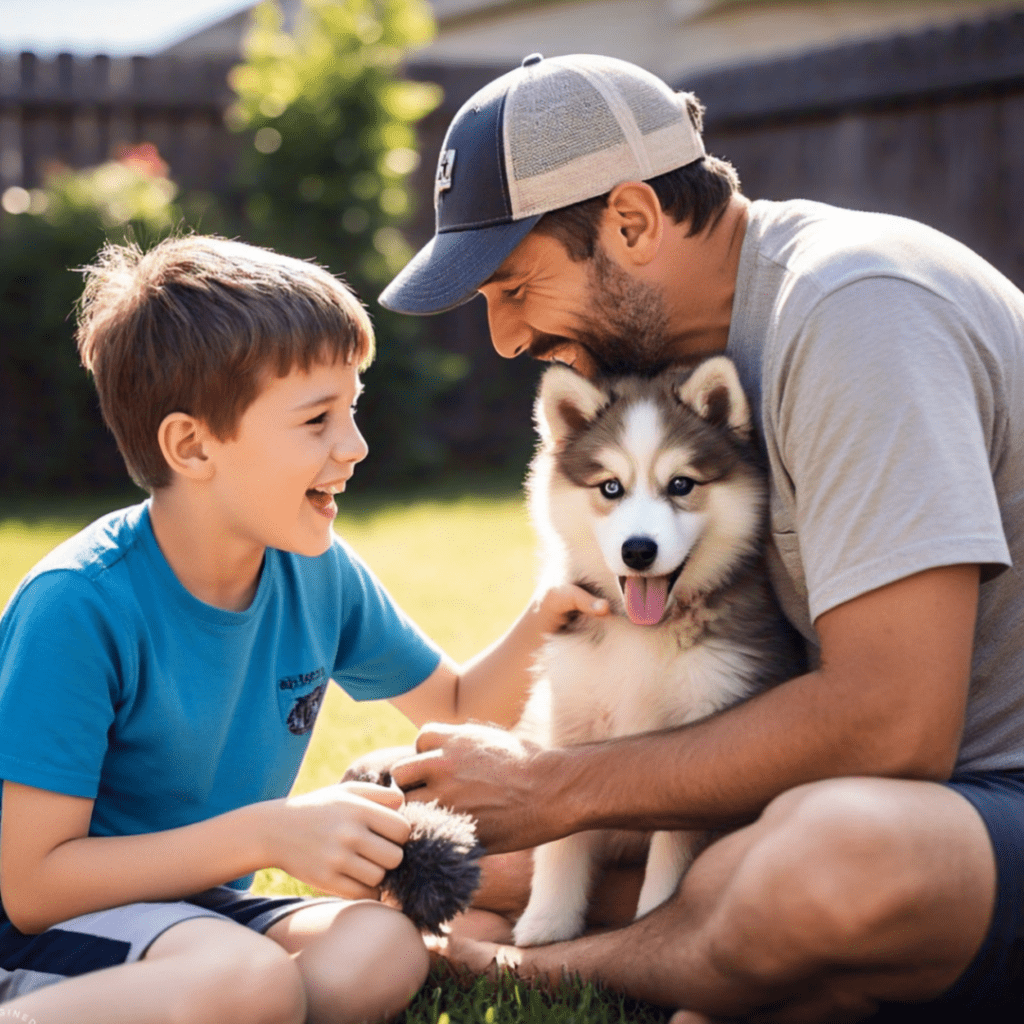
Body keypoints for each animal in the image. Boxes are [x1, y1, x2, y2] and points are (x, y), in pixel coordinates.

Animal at [516, 356, 802, 946]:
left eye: (681, 484)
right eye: (610, 487)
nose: (638, 550)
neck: (641, 634)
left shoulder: (704, 730)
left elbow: (675, 853)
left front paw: (655, 918)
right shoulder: (570, 716)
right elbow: (559, 832)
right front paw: (548, 923)